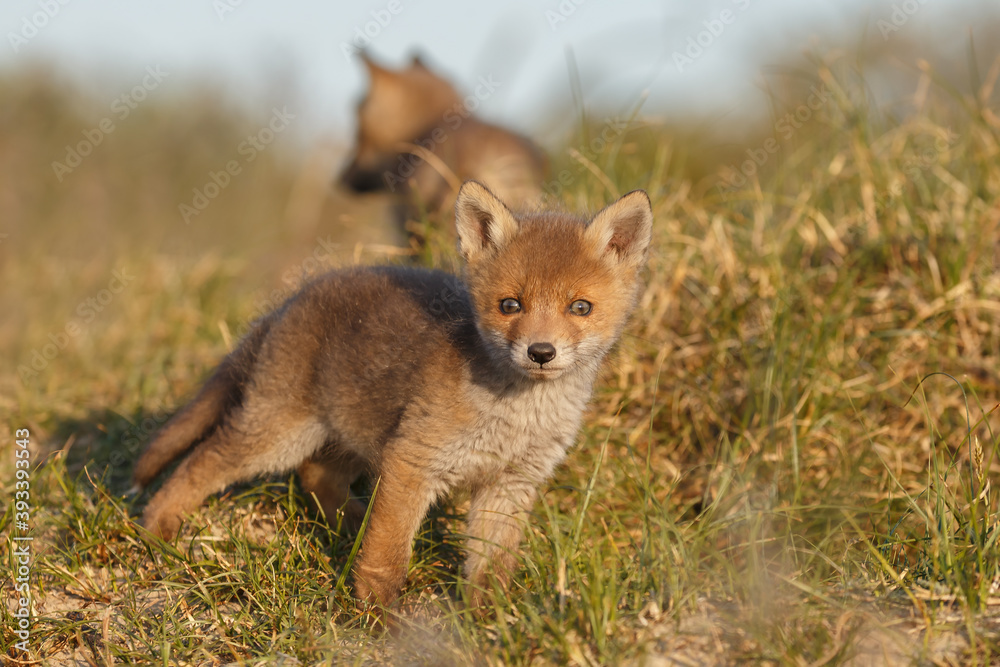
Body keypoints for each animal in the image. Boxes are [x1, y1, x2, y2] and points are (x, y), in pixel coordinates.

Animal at [133, 180, 652, 612]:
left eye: (580, 307)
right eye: (511, 305)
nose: (541, 352)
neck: (516, 416)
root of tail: (294, 297)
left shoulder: (510, 483)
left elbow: (490, 567)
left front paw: (490, 623)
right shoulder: (411, 461)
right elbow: (388, 555)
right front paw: (378, 617)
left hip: (351, 433)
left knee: (315, 475)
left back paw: (349, 523)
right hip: (278, 435)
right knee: (201, 461)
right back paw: (158, 528)